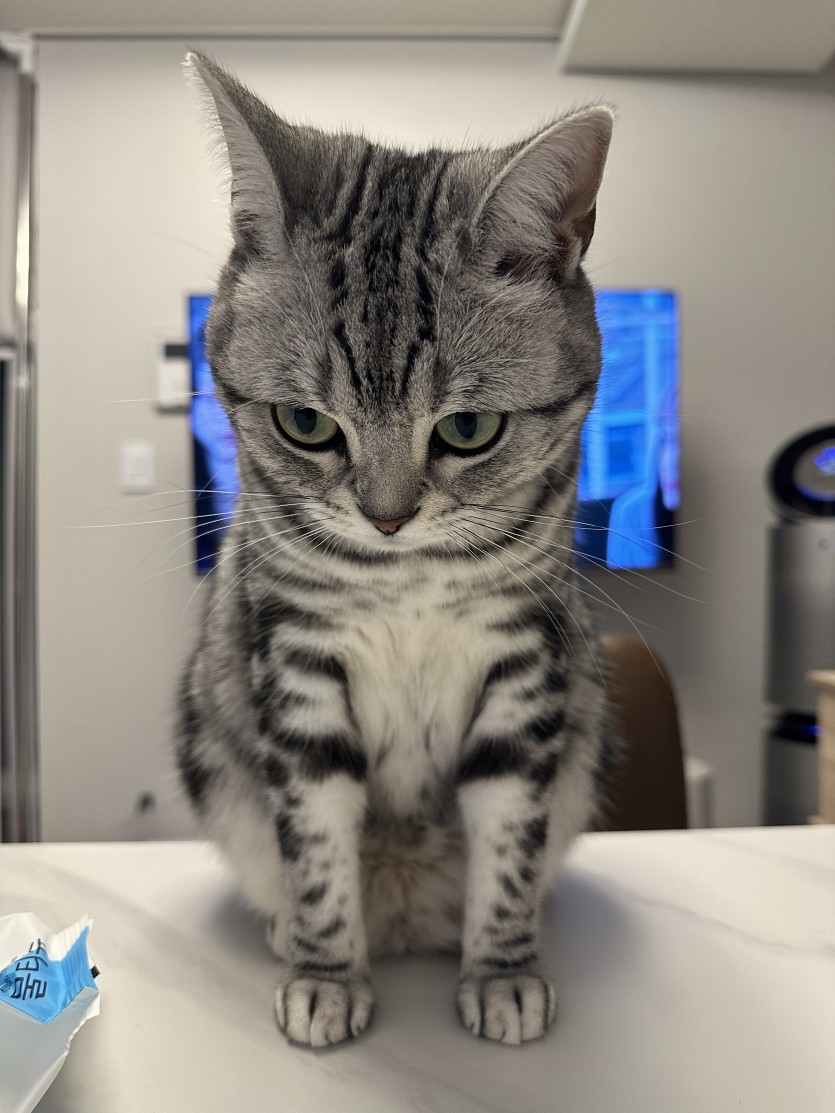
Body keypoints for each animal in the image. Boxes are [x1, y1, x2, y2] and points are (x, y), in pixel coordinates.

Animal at [177, 51, 615, 1048]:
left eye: (468, 429)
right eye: (305, 424)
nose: (385, 518)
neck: (405, 578)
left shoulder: (523, 661)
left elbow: (509, 839)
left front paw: (502, 971)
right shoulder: (297, 661)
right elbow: (316, 850)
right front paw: (324, 974)